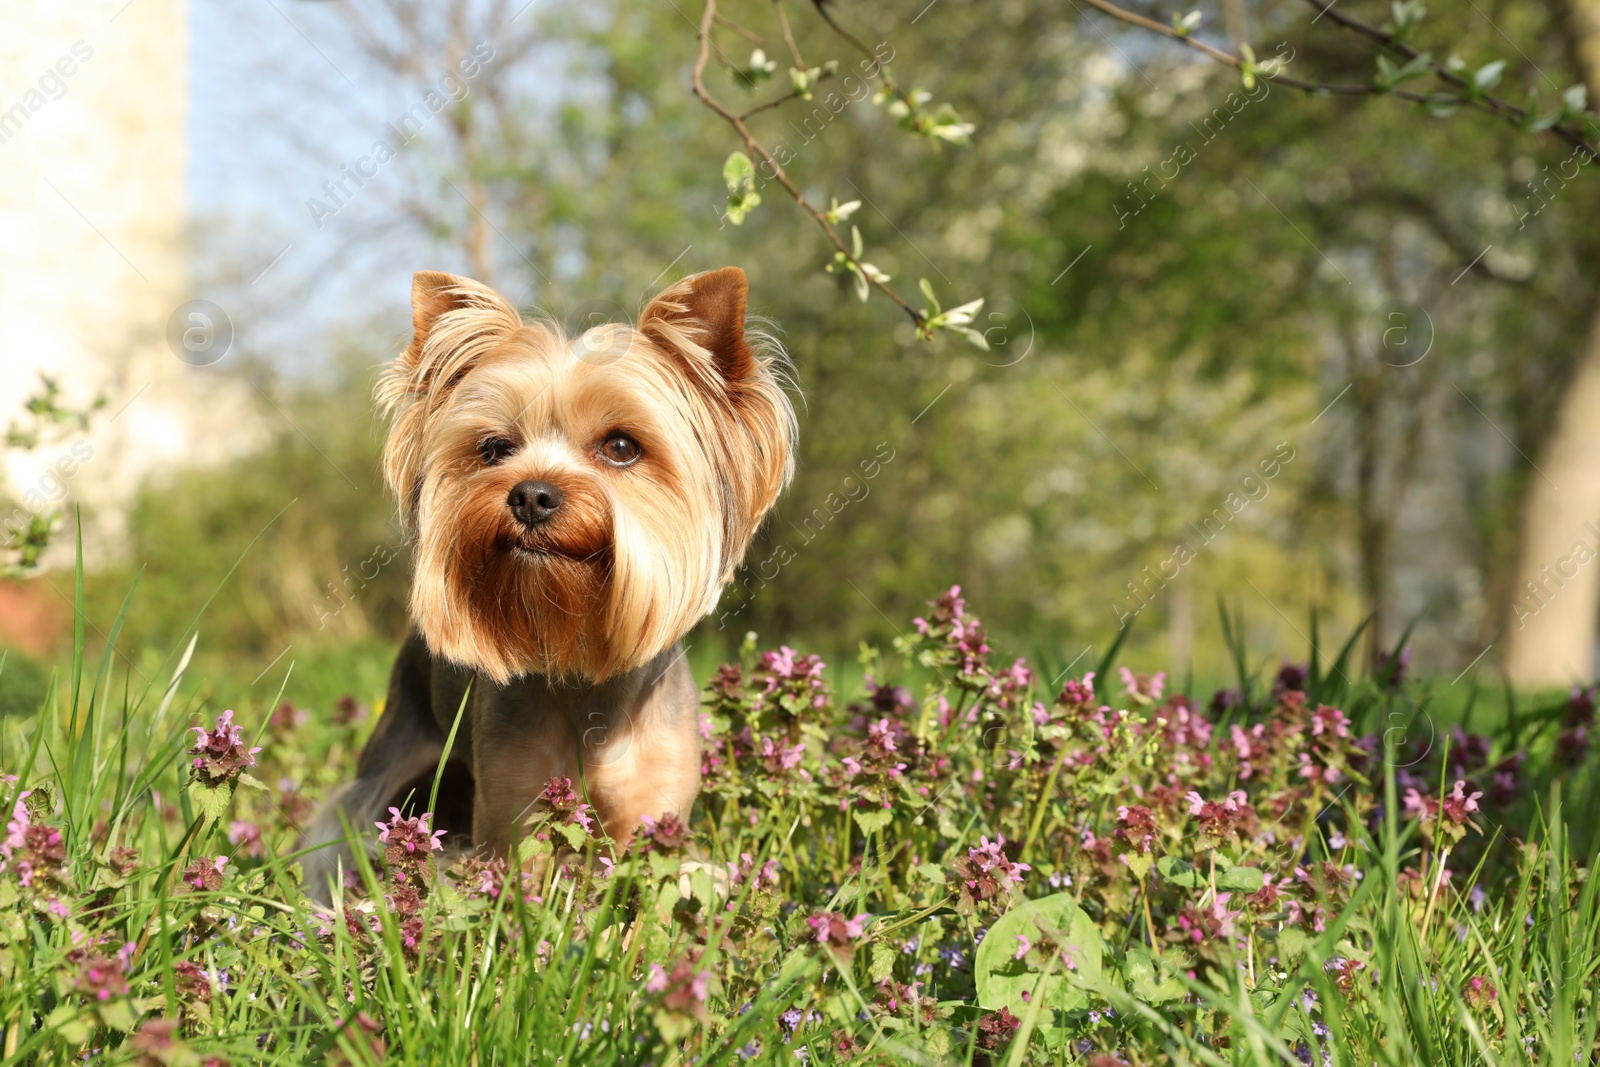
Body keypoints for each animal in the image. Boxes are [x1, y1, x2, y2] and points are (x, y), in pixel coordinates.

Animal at [302, 265, 796, 895]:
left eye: (621, 446)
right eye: (494, 448)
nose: (531, 495)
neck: (582, 658)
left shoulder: (654, 803)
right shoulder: (513, 800)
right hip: (395, 742)